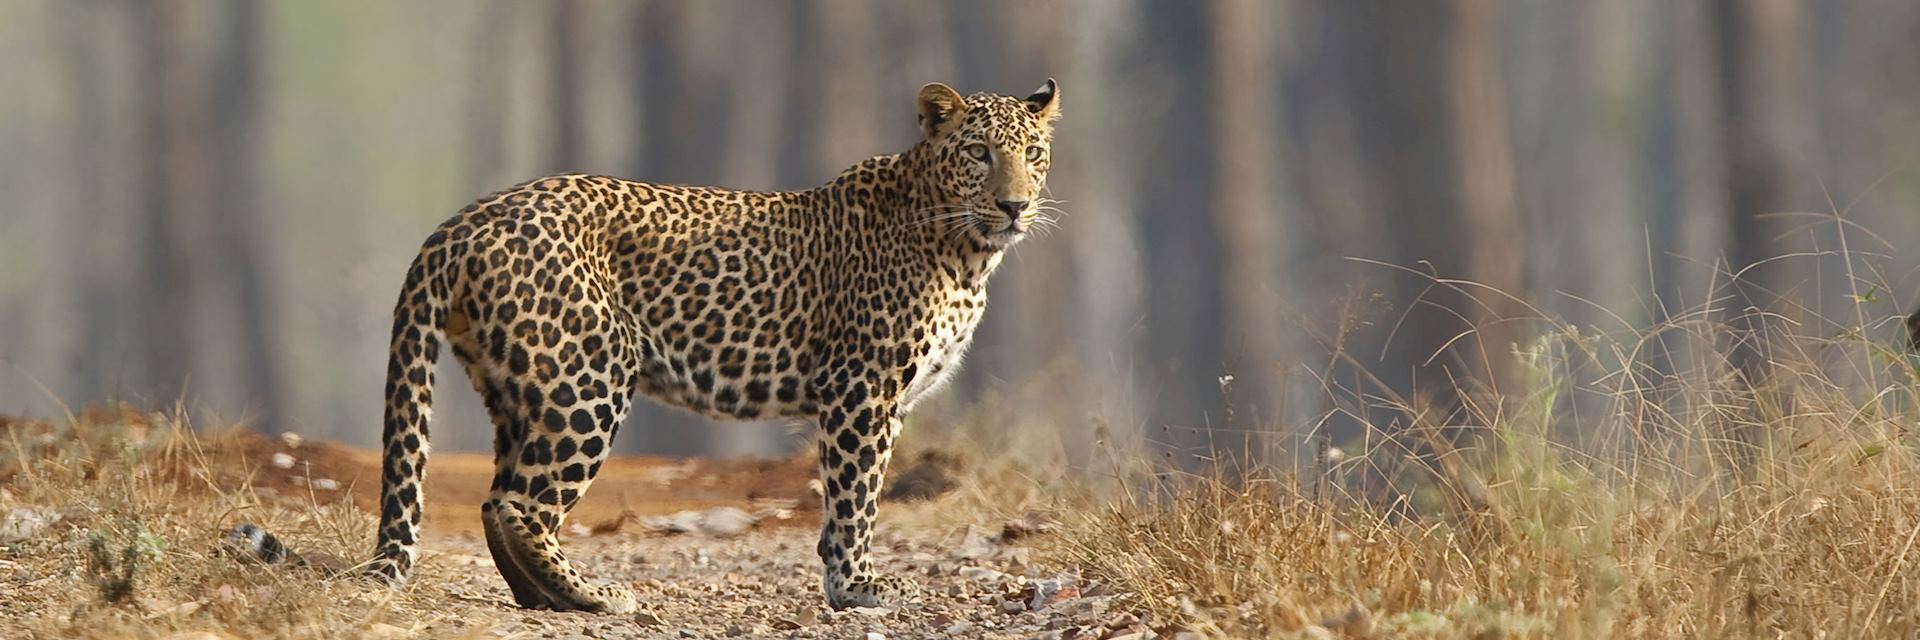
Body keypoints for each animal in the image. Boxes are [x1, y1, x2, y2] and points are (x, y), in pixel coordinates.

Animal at [240, 77, 1067, 611]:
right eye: (979, 153)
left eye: (1033, 152)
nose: (1015, 204)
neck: (965, 250)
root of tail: (459, 223)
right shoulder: (862, 391)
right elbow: (855, 496)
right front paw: (860, 587)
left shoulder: (868, 398)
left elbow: (842, 502)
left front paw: (844, 585)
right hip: (587, 379)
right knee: (518, 503)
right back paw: (596, 598)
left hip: (518, 385)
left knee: (496, 501)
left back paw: (547, 600)